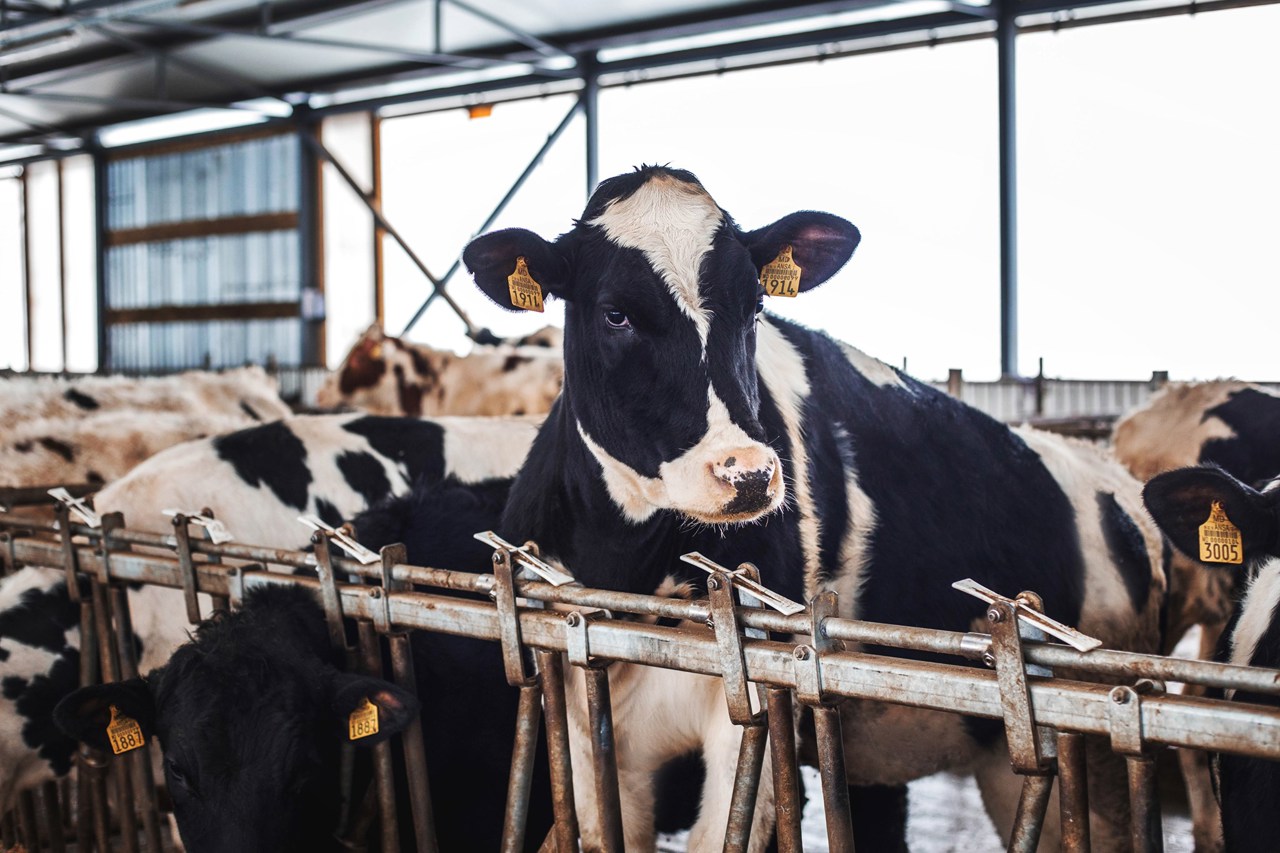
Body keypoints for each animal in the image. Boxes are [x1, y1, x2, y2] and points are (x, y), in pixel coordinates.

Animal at [461, 165, 1167, 851]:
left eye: (755, 307)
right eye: (615, 315)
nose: (747, 472)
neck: (624, 565)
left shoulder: (754, 704)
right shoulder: (585, 716)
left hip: (1096, 767)